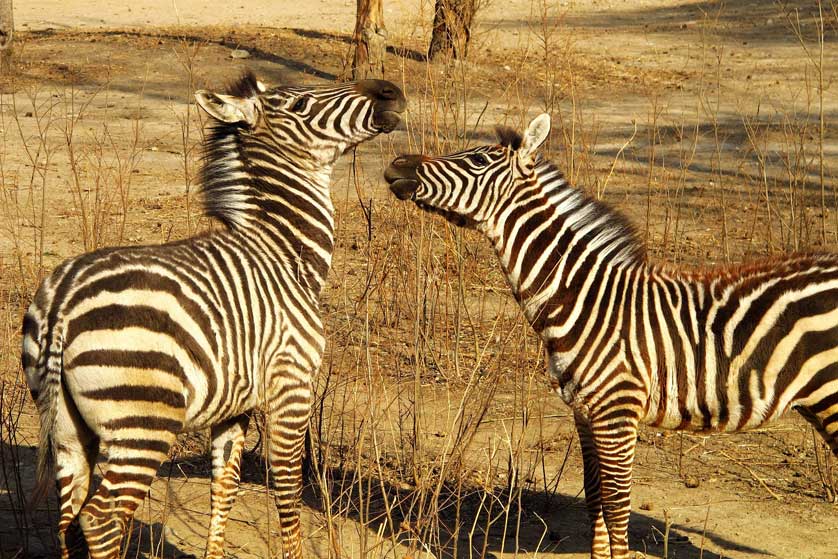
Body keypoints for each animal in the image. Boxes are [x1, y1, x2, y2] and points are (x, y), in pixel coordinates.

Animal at [21, 71, 406, 559]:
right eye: (300, 104)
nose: (391, 89)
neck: (284, 251)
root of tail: (63, 301)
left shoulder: (235, 404)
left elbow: (226, 485)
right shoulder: (292, 383)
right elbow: (287, 488)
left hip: (66, 426)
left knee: (69, 517)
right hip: (143, 422)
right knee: (100, 519)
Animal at [384, 114, 838, 559]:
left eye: (478, 160)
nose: (395, 166)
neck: (585, 299)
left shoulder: (617, 411)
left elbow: (618, 508)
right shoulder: (584, 412)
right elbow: (595, 500)